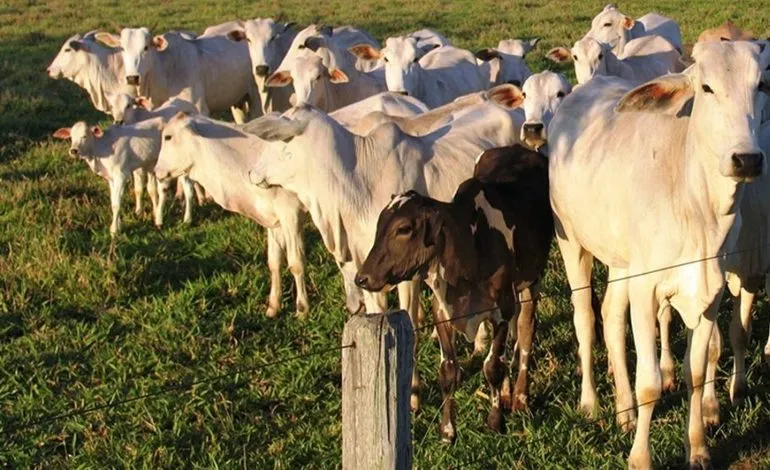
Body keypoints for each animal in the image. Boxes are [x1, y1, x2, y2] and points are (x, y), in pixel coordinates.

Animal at [354, 145, 552, 442]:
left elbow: (493, 367)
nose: (362, 278)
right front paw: (447, 430)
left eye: (404, 229)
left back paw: (519, 397)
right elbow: (449, 371)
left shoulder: (501, 308)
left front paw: (495, 421)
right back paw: (507, 393)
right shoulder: (442, 312)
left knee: (526, 330)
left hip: (531, 280)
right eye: (379, 226)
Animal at [548, 42, 764, 468]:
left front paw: (698, 447)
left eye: (762, 84)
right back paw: (591, 402)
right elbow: (649, 384)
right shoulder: (647, 289)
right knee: (585, 318)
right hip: (572, 242)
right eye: (707, 88)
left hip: (622, 263)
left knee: (612, 315)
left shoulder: (710, 293)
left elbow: (696, 369)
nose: (747, 159)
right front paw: (640, 458)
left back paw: (624, 410)